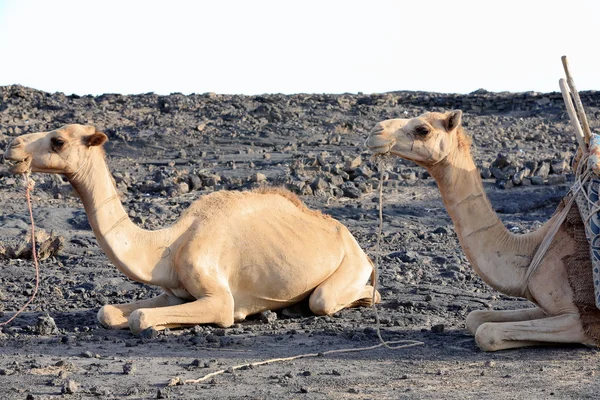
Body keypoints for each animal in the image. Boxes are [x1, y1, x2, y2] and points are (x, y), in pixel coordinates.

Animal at [2, 124, 380, 334]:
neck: (168, 246)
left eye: (58, 141)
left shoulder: (219, 300)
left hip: (349, 266)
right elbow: (107, 311)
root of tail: (354, 242)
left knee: (329, 298)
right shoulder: (173, 293)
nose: (13, 147)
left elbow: (141, 318)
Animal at [364, 109, 600, 350]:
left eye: (423, 129)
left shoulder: (579, 318)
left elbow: (486, 333)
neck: (531, 250)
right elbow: (475, 318)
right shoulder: (546, 308)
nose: (375, 132)